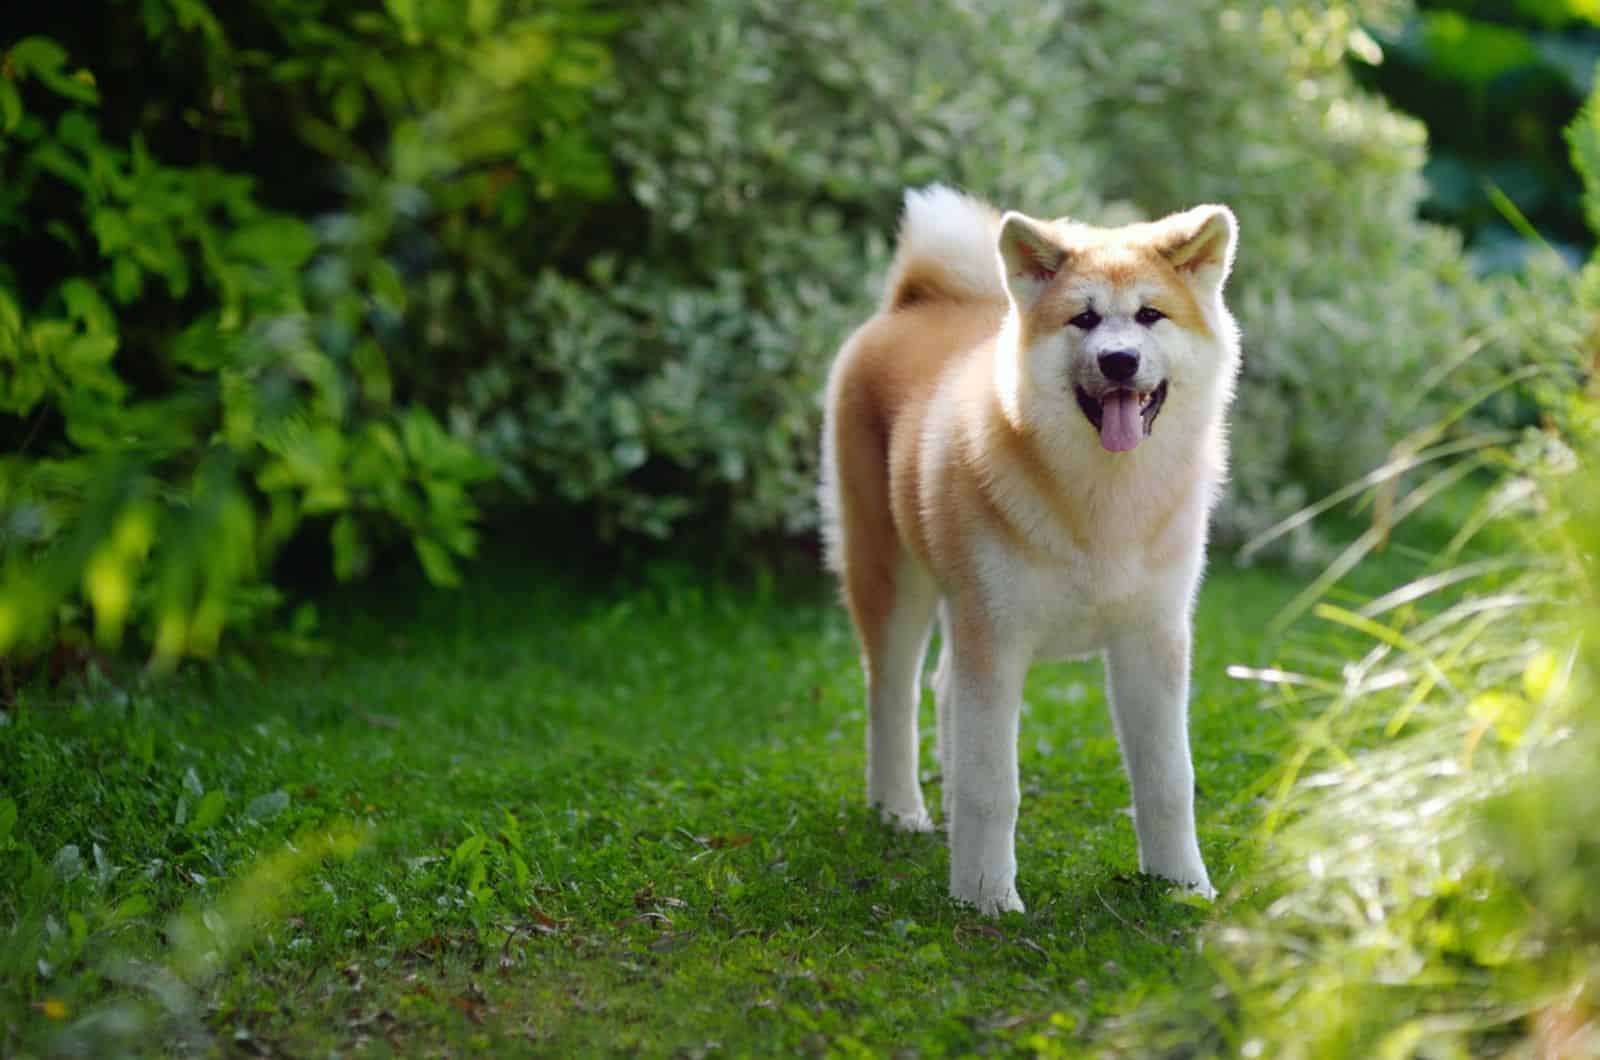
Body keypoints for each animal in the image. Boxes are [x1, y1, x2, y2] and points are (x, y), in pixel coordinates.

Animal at [819, 186, 1241, 915]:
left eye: (1150, 315)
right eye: (1084, 319)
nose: (1119, 361)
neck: (1102, 501)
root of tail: (914, 300)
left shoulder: (1153, 640)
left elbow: (1168, 780)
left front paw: (1183, 886)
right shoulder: (996, 638)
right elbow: (993, 785)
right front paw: (986, 897)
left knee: (941, 690)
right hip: (892, 578)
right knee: (892, 696)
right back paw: (901, 811)